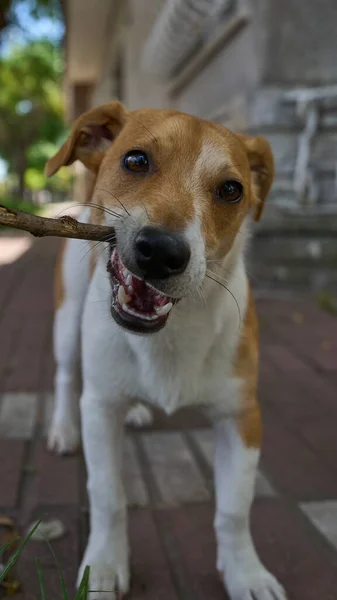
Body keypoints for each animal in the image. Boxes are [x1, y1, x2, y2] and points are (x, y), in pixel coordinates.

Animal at [45, 103, 286, 600]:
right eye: (136, 160)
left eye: (231, 190)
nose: (160, 251)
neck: (170, 336)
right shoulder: (99, 408)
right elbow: (107, 495)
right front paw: (103, 565)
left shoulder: (242, 416)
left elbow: (235, 508)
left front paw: (246, 574)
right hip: (66, 319)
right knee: (64, 375)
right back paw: (61, 429)